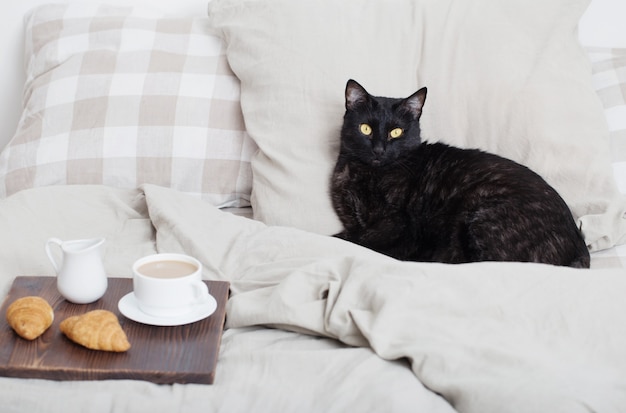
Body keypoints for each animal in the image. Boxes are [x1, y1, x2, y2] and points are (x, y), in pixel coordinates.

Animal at [330, 79, 588, 268]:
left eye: (396, 132)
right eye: (365, 128)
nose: (379, 150)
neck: (364, 173)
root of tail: (579, 246)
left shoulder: (396, 223)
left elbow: (354, 238)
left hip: (482, 214)